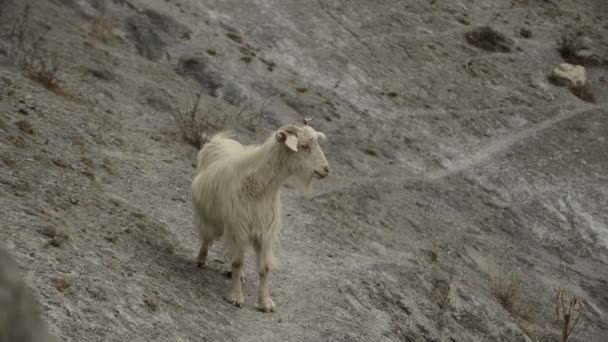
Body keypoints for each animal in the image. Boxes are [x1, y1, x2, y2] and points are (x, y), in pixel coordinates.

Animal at [192, 120, 330, 312]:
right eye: (304, 146)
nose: (326, 169)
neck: (260, 187)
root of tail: (219, 140)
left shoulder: (264, 232)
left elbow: (264, 268)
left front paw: (265, 302)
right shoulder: (238, 227)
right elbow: (237, 262)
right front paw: (237, 297)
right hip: (208, 216)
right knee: (207, 237)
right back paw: (200, 260)